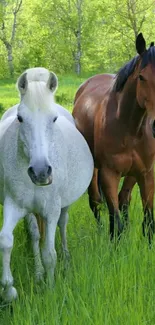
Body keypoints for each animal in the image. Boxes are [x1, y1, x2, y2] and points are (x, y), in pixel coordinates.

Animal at [0, 66, 93, 302]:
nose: (41, 172)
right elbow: (6, 241)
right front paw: (9, 289)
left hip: (64, 206)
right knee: (35, 235)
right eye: (20, 118)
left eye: (53, 119)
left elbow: (50, 253)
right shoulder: (14, 205)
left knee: (62, 225)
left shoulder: (51, 210)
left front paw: (51, 290)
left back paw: (66, 258)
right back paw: (38, 272)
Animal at [72, 33, 155, 240]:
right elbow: (115, 220)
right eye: (141, 77)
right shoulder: (109, 174)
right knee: (96, 201)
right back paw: (101, 232)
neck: (129, 128)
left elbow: (148, 220)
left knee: (123, 198)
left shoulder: (146, 173)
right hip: (93, 169)